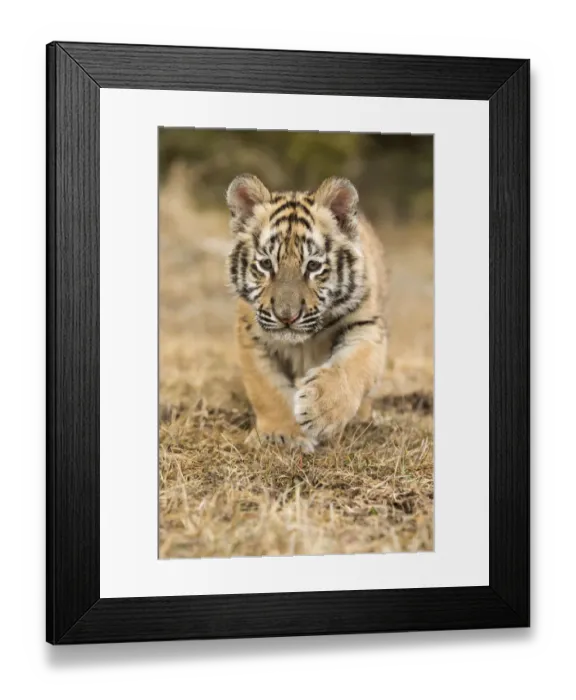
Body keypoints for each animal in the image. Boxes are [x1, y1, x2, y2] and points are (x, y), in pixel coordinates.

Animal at [226, 173, 389, 452]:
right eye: (266, 264)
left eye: (313, 266)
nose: (286, 316)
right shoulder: (251, 335)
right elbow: (266, 388)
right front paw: (281, 435)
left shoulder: (366, 326)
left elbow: (353, 366)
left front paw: (320, 409)